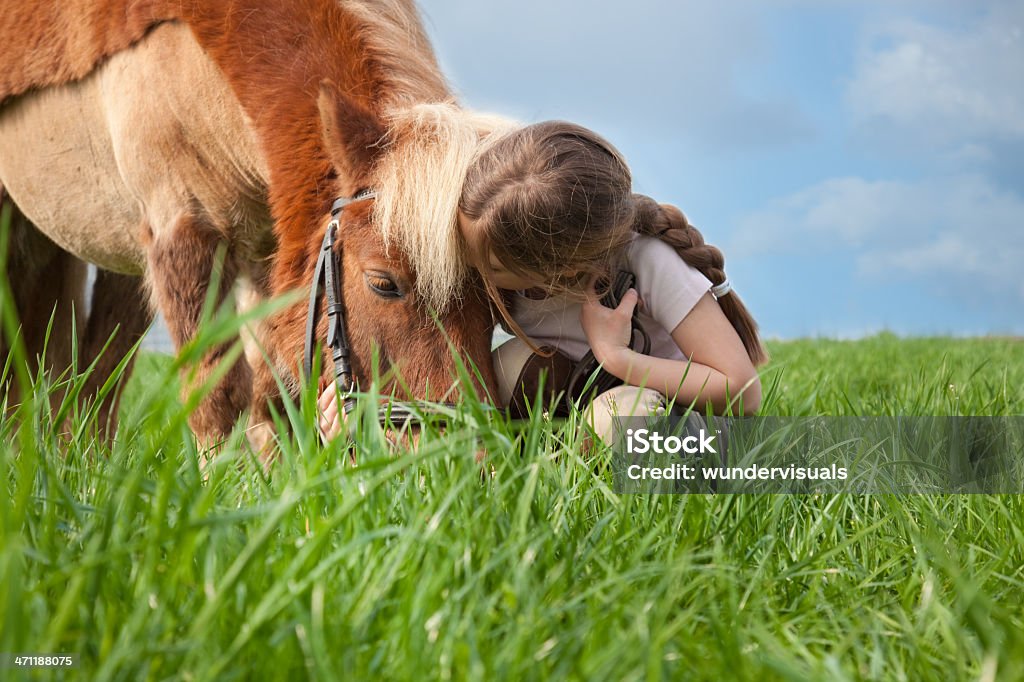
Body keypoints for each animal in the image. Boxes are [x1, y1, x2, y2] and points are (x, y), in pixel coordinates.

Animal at [0, 2, 512, 448]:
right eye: (383, 283)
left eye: (495, 302)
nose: (464, 457)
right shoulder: (185, 235)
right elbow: (217, 396)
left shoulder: (274, 252)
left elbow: (273, 395)